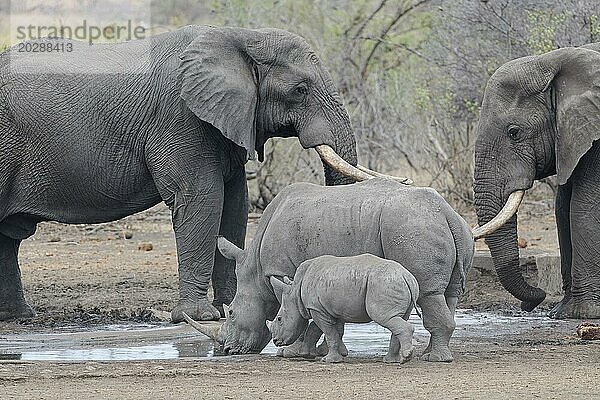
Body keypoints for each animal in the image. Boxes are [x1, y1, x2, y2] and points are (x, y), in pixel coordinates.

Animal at [0, 25, 400, 322]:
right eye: (299, 90)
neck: (240, 37)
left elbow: (235, 204)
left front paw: (230, 308)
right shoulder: (180, 117)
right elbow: (201, 199)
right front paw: (200, 317)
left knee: (8, 236)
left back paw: (19, 317)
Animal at [268, 255, 418, 364]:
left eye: (279, 319)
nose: (275, 341)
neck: (295, 291)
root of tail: (407, 277)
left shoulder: (317, 309)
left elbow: (328, 332)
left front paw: (329, 360)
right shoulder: (329, 309)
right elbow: (330, 331)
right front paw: (308, 354)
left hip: (384, 284)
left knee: (384, 317)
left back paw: (405, 358)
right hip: (395, 284)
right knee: (397, 318)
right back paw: (391, 360)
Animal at [474, 43, 600, 318]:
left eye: (514, 133)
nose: (531, 303)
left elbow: (583, 210)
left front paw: (579, 314)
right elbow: (562, 209)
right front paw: (560, 313)